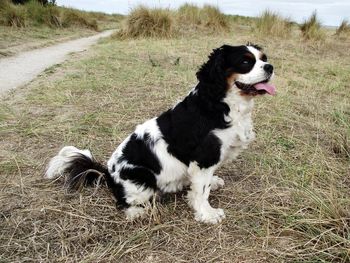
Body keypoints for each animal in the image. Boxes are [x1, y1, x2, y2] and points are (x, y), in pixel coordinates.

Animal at [45, 43, 276, 225]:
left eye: (263, 58)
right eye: (246, 62)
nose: (270, 67)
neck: (221, 103)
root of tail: (107, 174)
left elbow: (202, 186)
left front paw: (209, 188)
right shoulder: (204, 158)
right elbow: (202, 191)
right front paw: (207, 214)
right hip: (141, 178)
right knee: (124, 203)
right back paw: (137, 212)